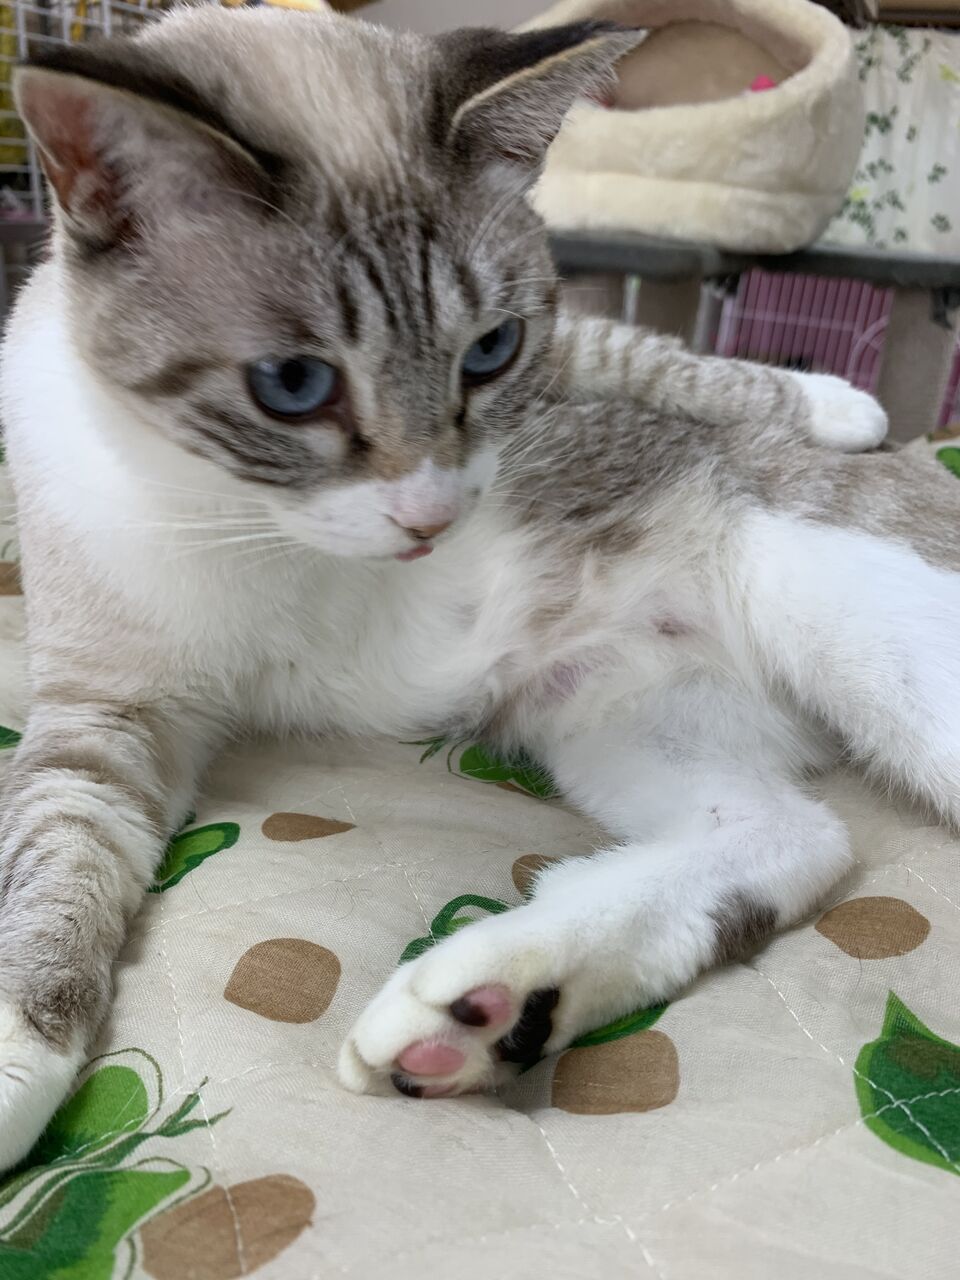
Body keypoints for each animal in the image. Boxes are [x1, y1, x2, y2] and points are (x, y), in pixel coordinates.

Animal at [1, 6, 951, 1168]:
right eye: (292, 383)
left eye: (491, 350)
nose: (430, 518)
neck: (235, 511)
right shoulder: (107, 712)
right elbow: (56, 860)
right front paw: (17, 1057)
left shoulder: (569, 348)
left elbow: (648, 350)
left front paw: (829, 401)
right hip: (615, 718)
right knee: (797, 835)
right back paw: (492, 1005)